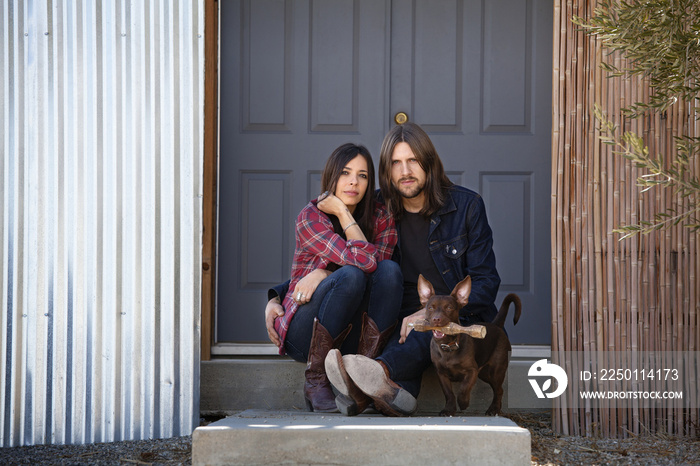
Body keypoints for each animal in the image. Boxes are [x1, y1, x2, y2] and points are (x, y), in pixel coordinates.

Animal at [416, 274, 520, 416]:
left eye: (449, 308)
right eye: (430, 308)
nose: (436, 319)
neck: (448, 346)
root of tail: (496, 325)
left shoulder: (472, 371)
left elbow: (464, 388)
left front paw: (463, 403)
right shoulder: (441, 374)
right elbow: (449, 393)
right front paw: (448, 409)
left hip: (495, 372)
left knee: (499, 390)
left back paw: (494, 409)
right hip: (484, 374)